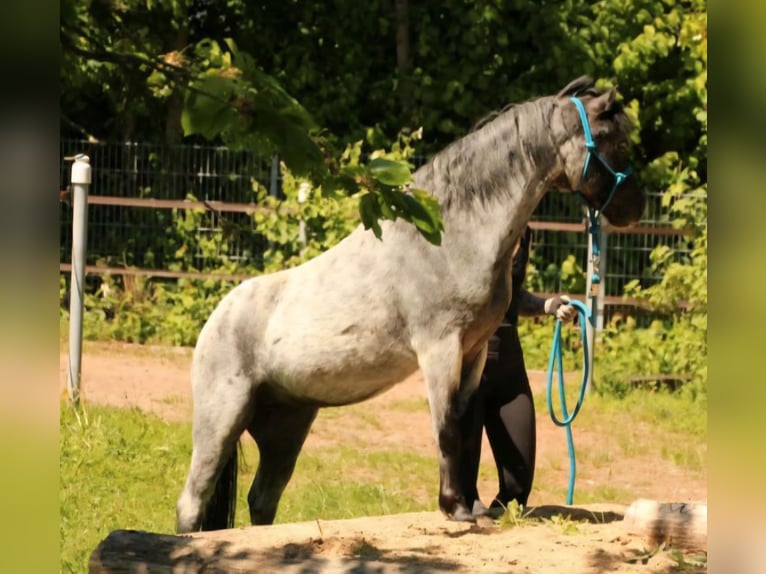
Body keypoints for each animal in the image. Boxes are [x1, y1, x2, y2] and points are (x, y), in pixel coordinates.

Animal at [175, 76, 646, 532]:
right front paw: (454, 509)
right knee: (191, 504)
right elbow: (447, 429)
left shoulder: (473, 353)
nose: (636, 209)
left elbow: (467, 426)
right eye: (616, 142)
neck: (450, 237)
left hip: (285, 427)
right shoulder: (440, 349)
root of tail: (215, 320)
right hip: (221, 420)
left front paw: (470, 506)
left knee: (262, 501)